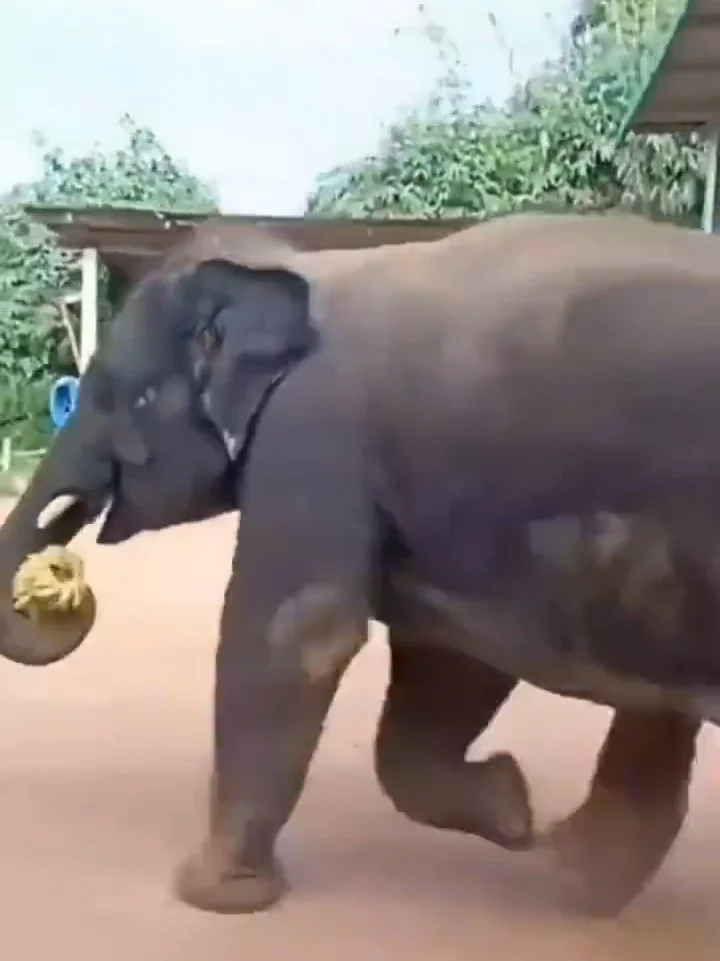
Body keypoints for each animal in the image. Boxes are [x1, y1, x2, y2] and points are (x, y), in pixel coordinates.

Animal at [0, 210, 719, 918]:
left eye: (111, 396)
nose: (62, 575)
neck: (296, 270)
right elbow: (447, 662)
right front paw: (512, 807)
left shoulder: (312, 430)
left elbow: (298, 633)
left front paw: (211, 895)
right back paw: (578, 875)